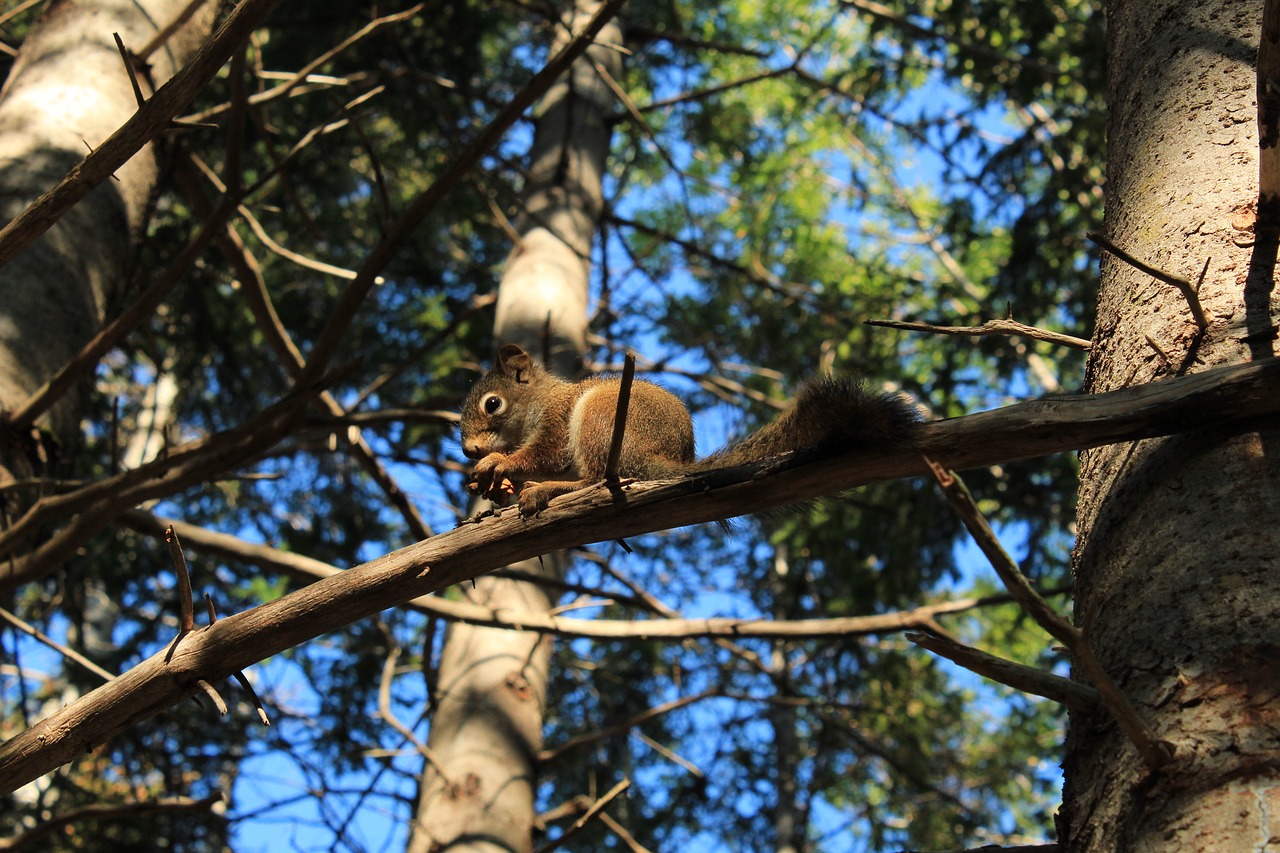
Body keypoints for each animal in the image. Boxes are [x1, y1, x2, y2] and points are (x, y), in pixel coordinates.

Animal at [460, 343, 921, 514]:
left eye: (492, 404)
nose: (469, 451)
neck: (538, 403)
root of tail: (660, 460)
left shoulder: (557, 420)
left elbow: (546, 454)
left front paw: (500, 463)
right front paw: (496, 484)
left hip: (602, 418)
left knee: (598, 479)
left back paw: (552, 490)